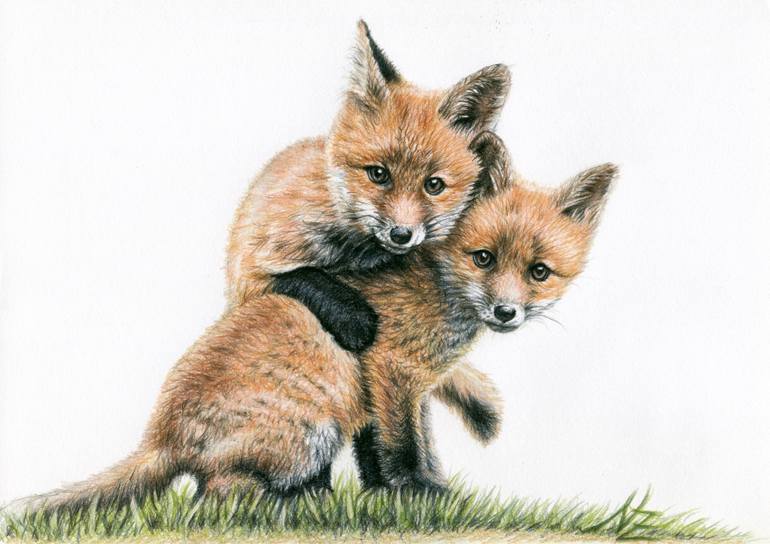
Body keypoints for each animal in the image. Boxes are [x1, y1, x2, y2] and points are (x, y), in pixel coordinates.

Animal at [14, 133, 618, 511]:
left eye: (539, 272)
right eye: (484, 258)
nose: (505, 312)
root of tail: (160, 436)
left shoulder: (403, 386)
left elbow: (396, 447)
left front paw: (401, 492)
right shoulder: (390, 369)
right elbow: (403, 448)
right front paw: (419, 493)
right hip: (309, 435)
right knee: (212, 496)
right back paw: (288, 504)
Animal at [226, 21, 511, 473]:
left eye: (434, 185)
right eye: (378, 174)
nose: (401, 234)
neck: (356, 252)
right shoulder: (252, 271)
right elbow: (309, 279)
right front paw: (357, 319)